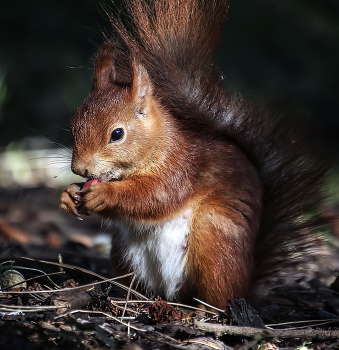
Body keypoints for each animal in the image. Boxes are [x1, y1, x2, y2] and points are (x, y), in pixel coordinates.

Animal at [59, 0, 330, 308]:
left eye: (117, 134)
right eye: (73, 127)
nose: (80, 169)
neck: (157, 147)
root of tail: (246, 286)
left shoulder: (183, 168)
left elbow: (155, 197)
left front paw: (106, 194)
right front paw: (69, 194)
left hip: (215, 240)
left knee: (219, 296)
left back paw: (199, 311)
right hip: (124, 256)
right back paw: (128, 298)